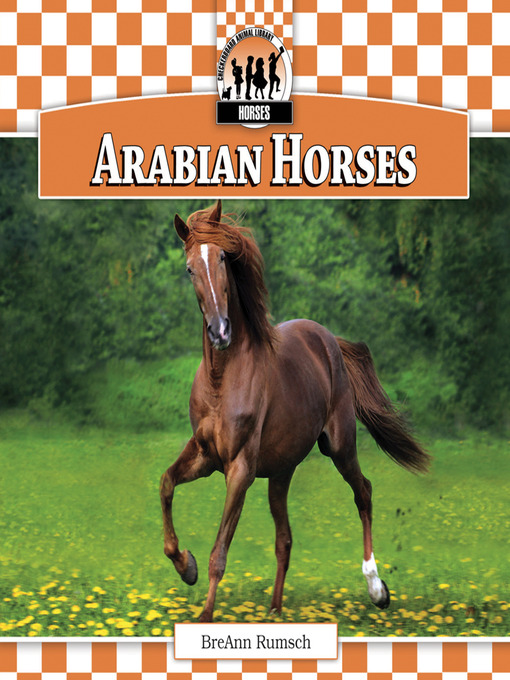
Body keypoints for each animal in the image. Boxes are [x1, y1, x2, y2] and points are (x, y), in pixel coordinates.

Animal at [160, 201, 429, 623]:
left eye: (222, 257)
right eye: (189, 268)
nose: (220, 331)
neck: (222, 380)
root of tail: (328, 339)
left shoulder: (239, 469)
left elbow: (220, 550)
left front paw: (204, 615)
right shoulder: (205, 456)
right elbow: (166, 484)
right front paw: (186, 566)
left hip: (339, 446)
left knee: (364, 492)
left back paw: (377, 589)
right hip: (281, 472)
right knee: (284, 539)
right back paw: (274, 610)